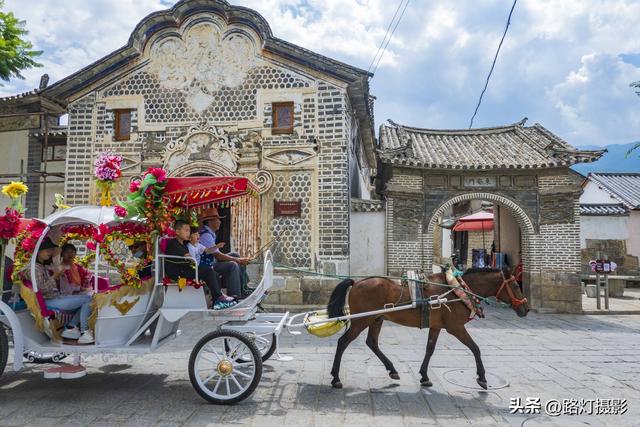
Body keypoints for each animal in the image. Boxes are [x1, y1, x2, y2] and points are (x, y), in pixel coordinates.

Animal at [324, 270, 528, 392]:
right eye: (516, 285)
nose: (525, 309)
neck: (458, 291)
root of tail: (357, 282)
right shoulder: (456, 328)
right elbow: (475, 348)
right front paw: (482, 378)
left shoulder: (436, 326)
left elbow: (430, 349)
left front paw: (424, 376)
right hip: (361, 320)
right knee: (343, 342)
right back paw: (336, 378)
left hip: (376, 318)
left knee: (372, 343)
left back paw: (392, 370)